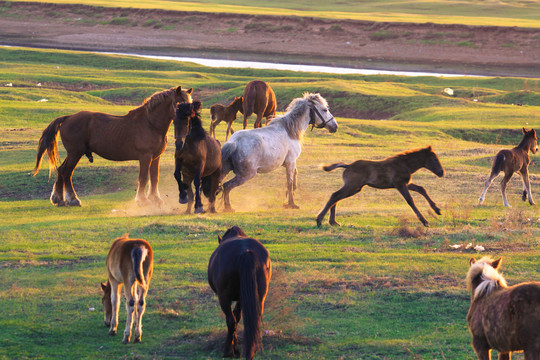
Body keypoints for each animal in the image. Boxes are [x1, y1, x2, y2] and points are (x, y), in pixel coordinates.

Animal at [31, 85, 192, 207]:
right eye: (179, 105)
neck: (150, 123)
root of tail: (68, 118)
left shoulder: (155, 157)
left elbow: (154, 178)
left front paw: (155, 199)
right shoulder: (145, 157)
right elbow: (143, 178)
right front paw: (142, 200)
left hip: (73, 153)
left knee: (61, 170)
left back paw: (59, 199)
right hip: (75, 153)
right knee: (66, 172)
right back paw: (73, 199)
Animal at [209, 226, 272, 358]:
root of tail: (246, 252)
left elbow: (233, 319)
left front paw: (234, 348)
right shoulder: (242, 298)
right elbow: (238, 317)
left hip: (224, 297)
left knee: (230, 320)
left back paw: (227, 351)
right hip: (259, 295)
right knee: (253, 320)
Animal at [314, 147, 446, 228]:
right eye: (434, 159)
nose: (441, 172)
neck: (405, 165)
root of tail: (348, 166)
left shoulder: (405, 183)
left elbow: (421, 189)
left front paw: (437, 210)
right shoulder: (399, 184)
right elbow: (410, 200)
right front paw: (425, 221)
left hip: (355, 188)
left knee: (337, 197)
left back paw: (333, 222)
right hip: (353, 186)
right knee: (335, 195)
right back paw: (320, 220)